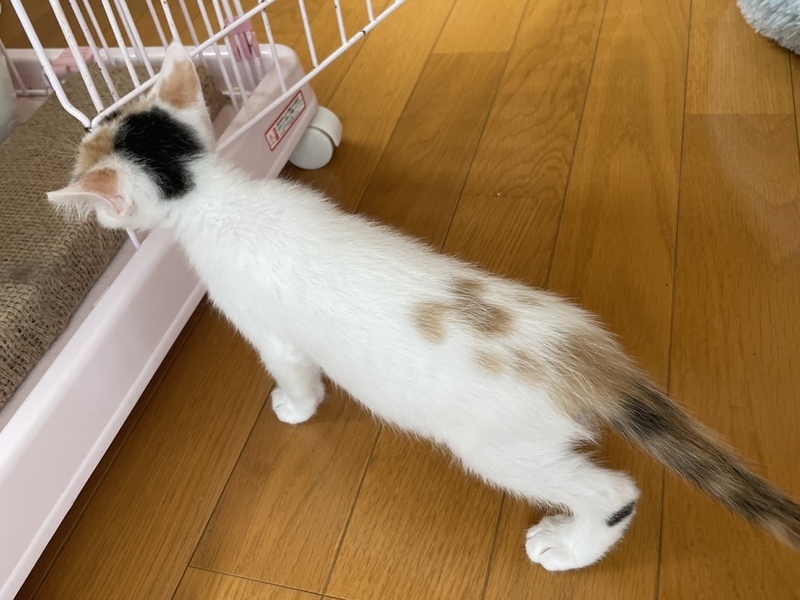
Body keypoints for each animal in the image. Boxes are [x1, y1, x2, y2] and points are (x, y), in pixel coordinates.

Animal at [47, 43, 800, 571]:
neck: (210, 192)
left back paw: (567, 546)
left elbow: (293, 373)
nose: (82, 193)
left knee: (613, 495)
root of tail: (588, 360)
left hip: (500, 447)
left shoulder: (272, 334)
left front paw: (294, 407)